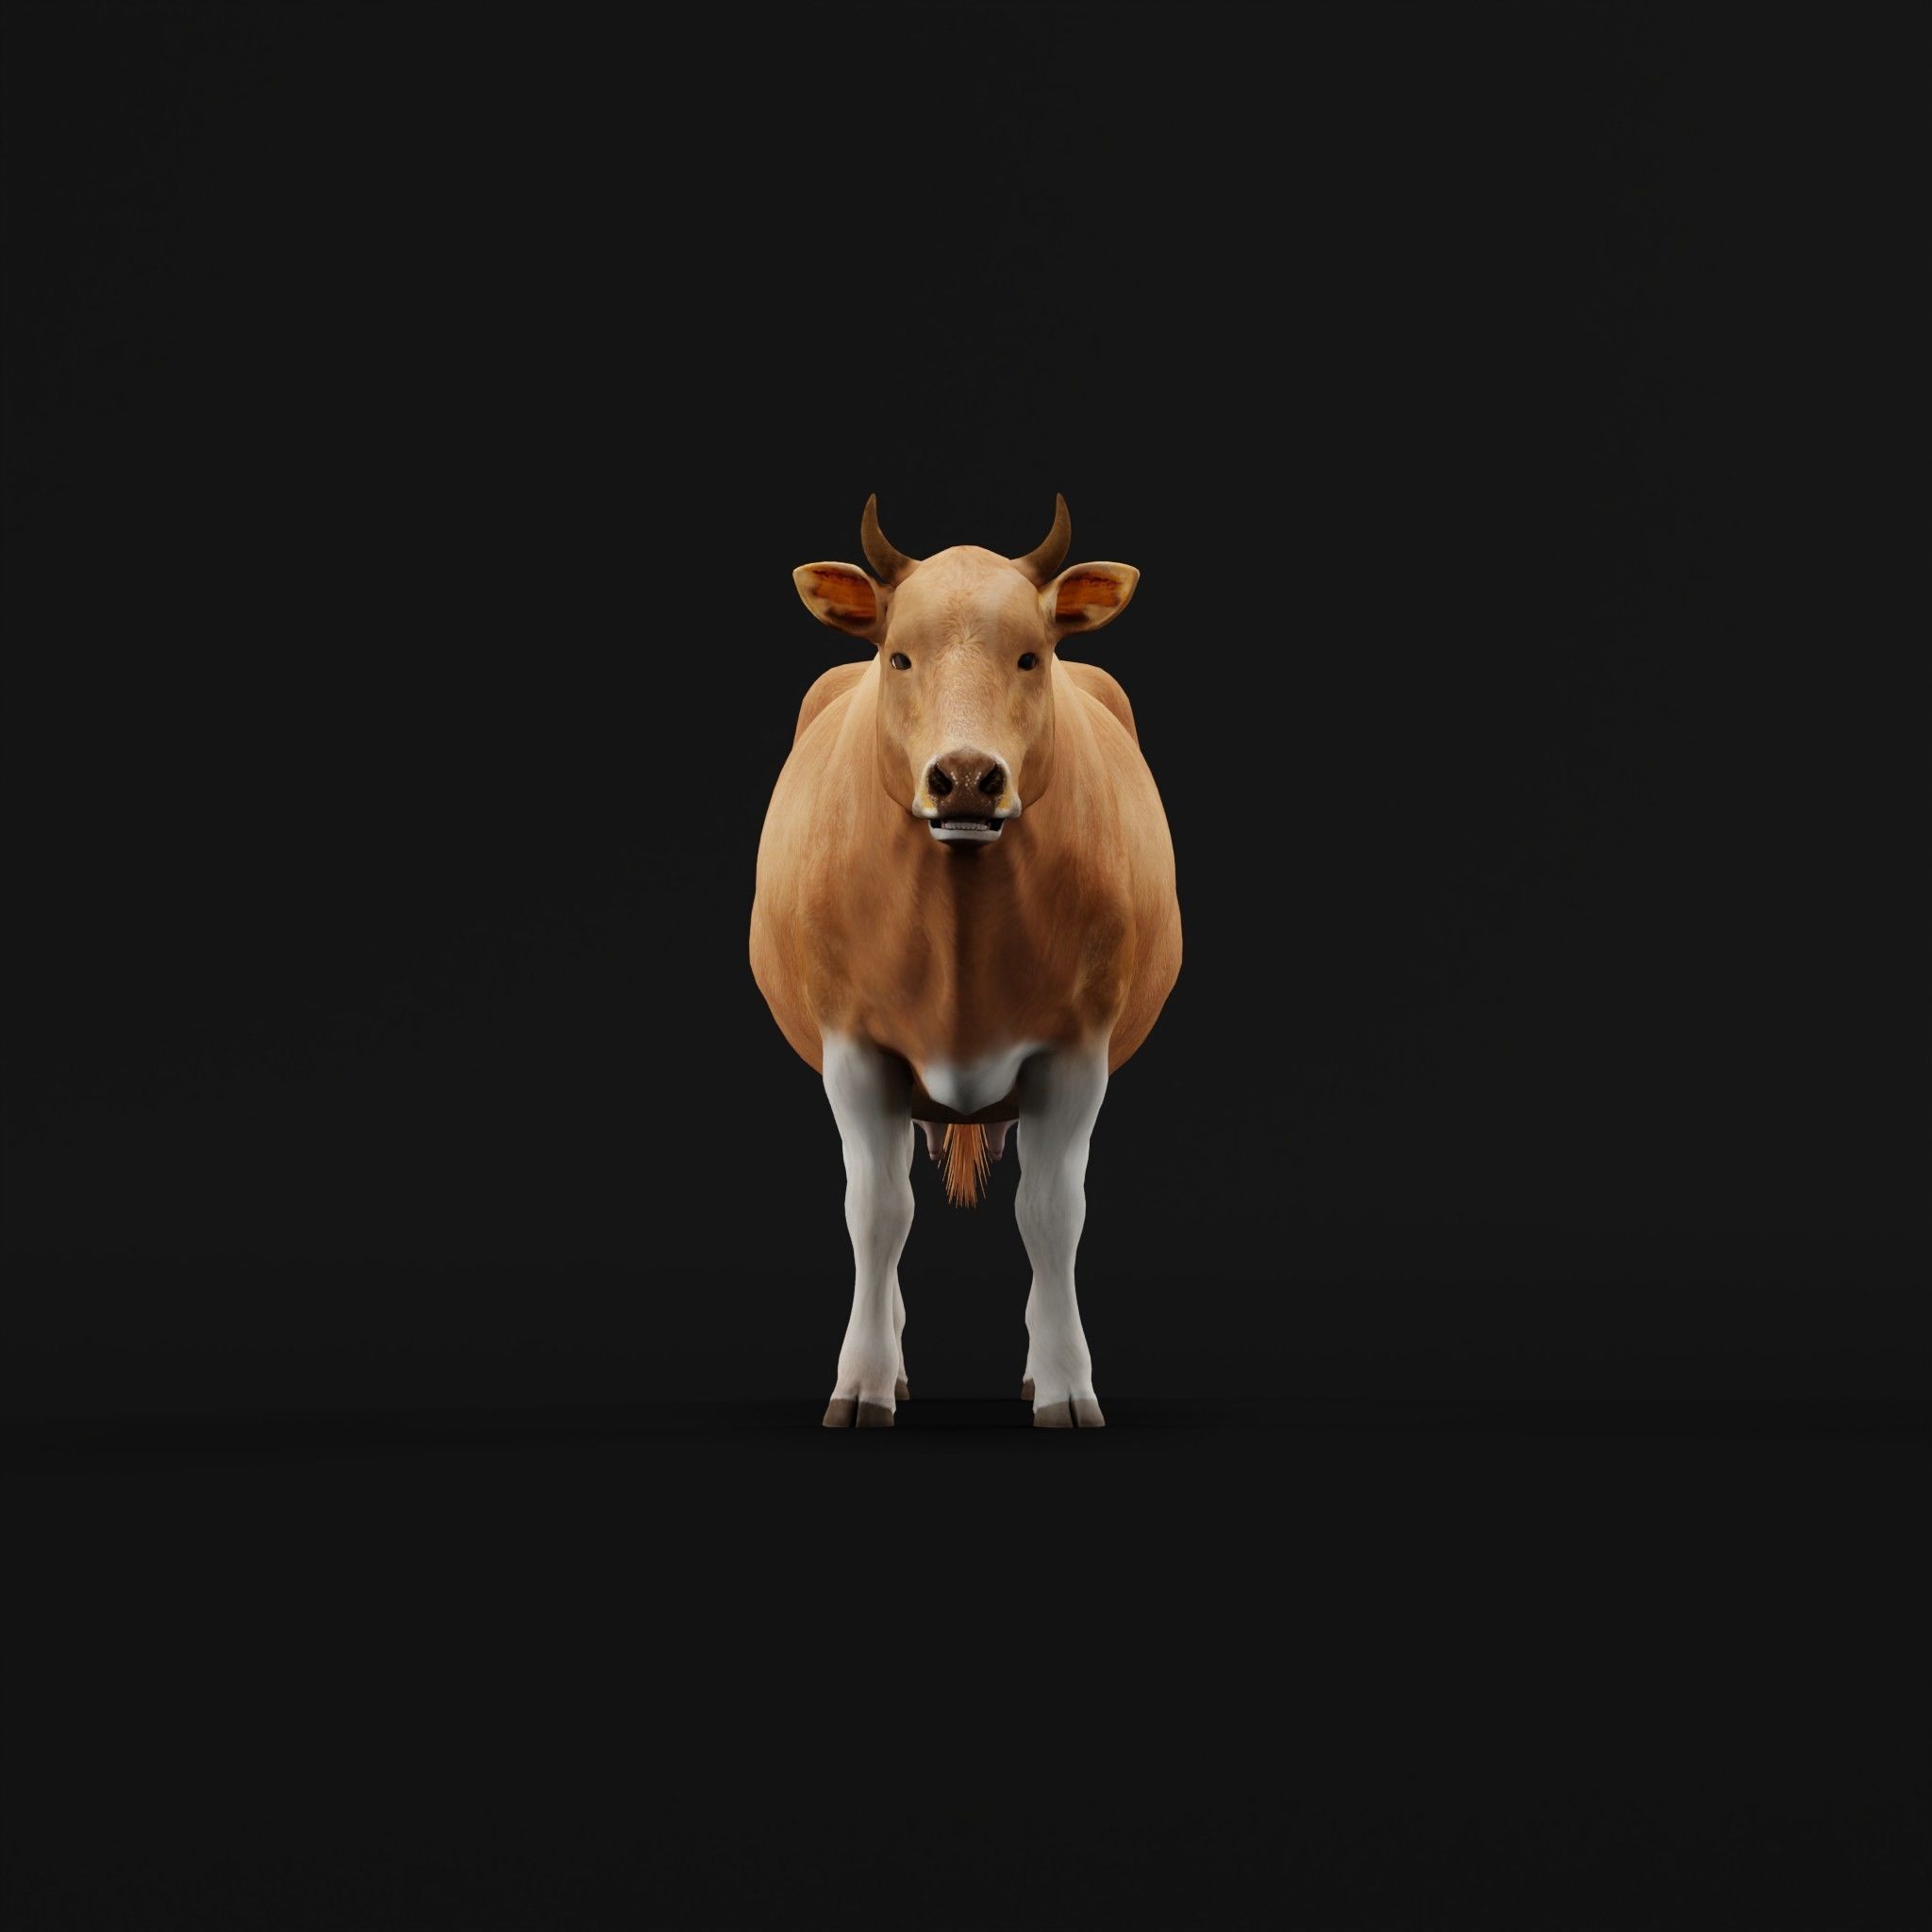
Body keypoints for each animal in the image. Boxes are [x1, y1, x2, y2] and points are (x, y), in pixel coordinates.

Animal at [750, 497, 1182, 1428]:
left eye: (1030, 654)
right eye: (899, 654)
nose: (966, 778)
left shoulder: (1077, 1050)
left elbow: (1051, 1214)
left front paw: (1064, 1384)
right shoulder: (854, 1047)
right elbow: (878, 1212)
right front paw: (863, 1384)